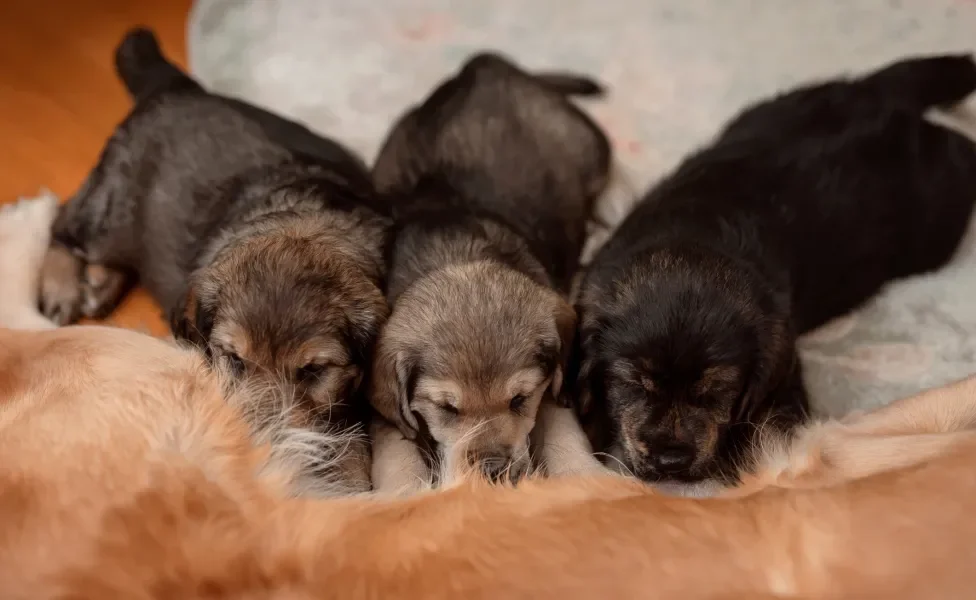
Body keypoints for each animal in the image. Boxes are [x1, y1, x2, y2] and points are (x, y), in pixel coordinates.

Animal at [39, 28, 388, 494]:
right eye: (235, 360)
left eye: (314, 370)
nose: (264, 448)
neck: (302, 220)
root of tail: (178, 87)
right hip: (112, 211)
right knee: (62, 219)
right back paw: (61, 287)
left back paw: (99, 284)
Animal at [366, 52, 608, 492]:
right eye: (447, 408)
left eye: (520, 399)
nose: (493, 472)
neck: (454, 252)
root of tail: (484, 64)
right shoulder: (386, 412)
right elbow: (396, 449)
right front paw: (404, 494)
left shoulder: (554, 386)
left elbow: (561, 427)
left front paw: (584, 476)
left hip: (591, 148)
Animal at [576, 54, 976, 488]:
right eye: (633, 384)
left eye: (718, 390)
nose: (671, 461)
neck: (692, 229)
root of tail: (876, 93)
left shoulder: (782, 376)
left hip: (935, 216)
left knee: (961, 150)